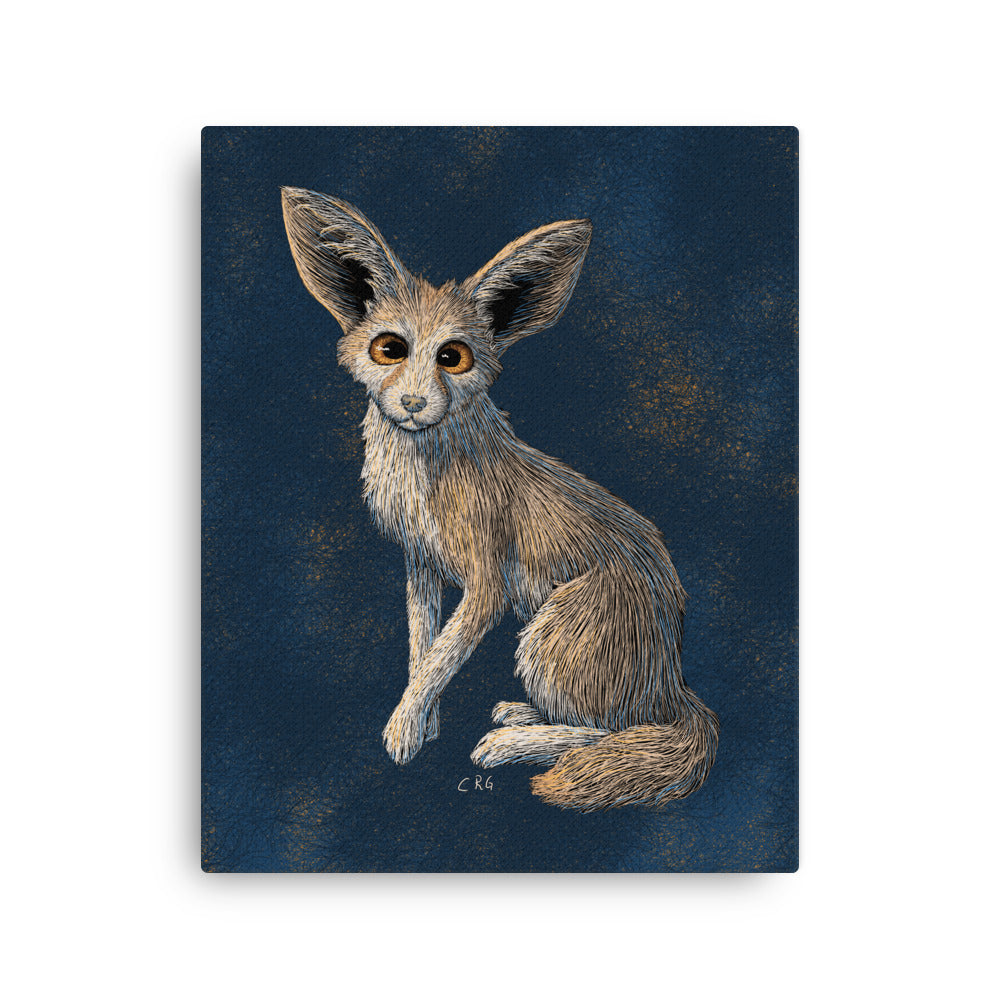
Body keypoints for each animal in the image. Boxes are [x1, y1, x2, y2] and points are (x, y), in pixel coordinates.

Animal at [281, 187, 718, 811]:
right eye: (389, 349)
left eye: (453, 358)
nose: (413, 404)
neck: (427, 472)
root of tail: (674, 681)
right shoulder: (420, 566)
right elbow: (423, 650)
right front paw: (424, 722)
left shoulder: (486, 586)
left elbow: (440, 657)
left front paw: (403, 732)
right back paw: (520, 715)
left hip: (548, 634)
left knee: (615, 731)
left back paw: (511, 744)